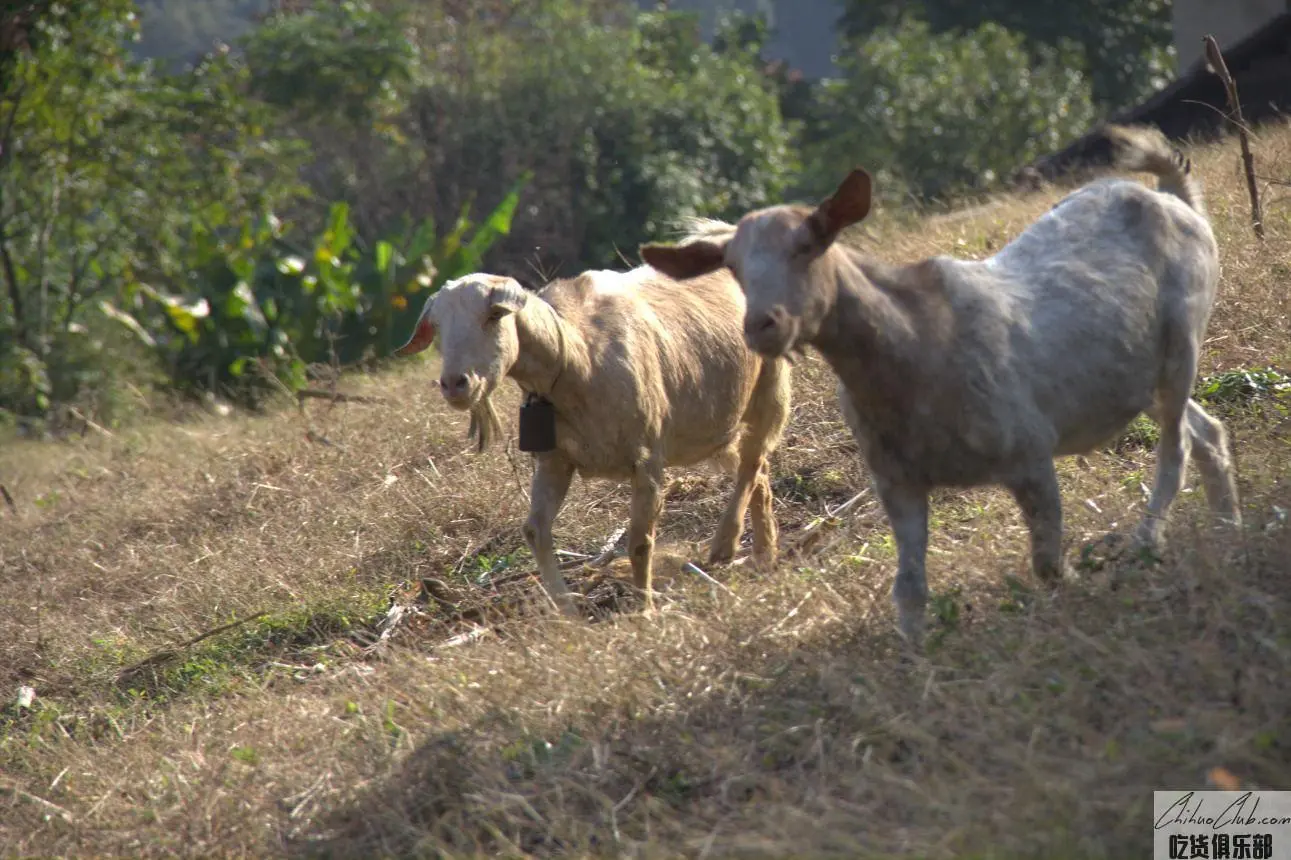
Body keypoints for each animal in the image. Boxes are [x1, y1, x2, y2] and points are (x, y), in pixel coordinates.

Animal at [397, 264, 790, 612]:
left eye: (494, 315)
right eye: (438, 328)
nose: (454, 384)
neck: (577, 355)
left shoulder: (647, 458)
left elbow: (639, 542)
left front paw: (645, 610)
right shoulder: (554, 461)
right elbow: (535, 530)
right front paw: (568, 613)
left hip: (771, 389)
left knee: (753, 461)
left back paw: (726, 543)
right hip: (716, 424)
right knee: (757, 471)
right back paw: (764, 555)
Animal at [640, 123, 1244, 640]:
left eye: (808, 245)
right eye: (734, 267)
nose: (763, 325)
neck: (913, 350)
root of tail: (1172, 197)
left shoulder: (1028, 454)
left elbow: (1047, 564)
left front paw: (1075, 599)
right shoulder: (898, 481)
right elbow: (909, 589)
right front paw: (914, 654)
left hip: (1183, 339)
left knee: (1176, 447)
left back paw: (1149, 539)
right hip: (1139, 376)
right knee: (1208, 431)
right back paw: (1228, 526)